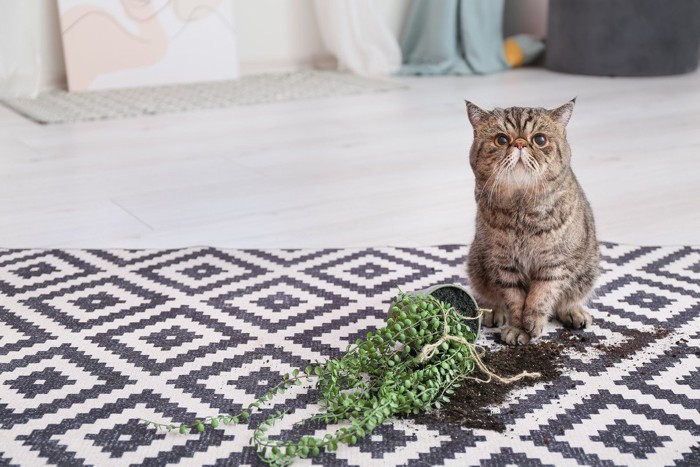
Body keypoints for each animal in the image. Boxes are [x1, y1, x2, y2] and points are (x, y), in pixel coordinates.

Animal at [464, 100, 600, 346]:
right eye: (501, 140)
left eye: (539, 139)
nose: (519, 143)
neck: (522, 211)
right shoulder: (505, 264)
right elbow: (515, 299)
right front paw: (518, 328)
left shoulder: (554, 263)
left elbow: (541, 296)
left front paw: (533, 323)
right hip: (477, 264)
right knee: (489, 295)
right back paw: (492, 311)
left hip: (588, 270)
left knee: (565, 301)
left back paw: (574, 312)